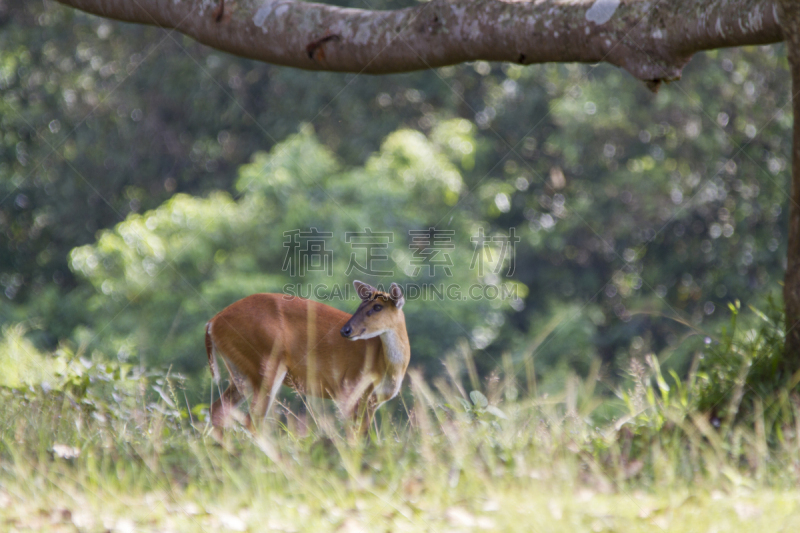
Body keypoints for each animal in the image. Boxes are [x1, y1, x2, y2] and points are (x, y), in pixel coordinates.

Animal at [203, 278, 410, 436]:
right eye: (360, 305)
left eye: (377, 307)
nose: (346, 330)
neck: (386, 365)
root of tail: (212, 322)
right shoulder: (350, 387)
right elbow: (354, 436)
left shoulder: (373, 400)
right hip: (265, 362)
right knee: (251, 421)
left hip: (241, 372)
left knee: (218, 410)